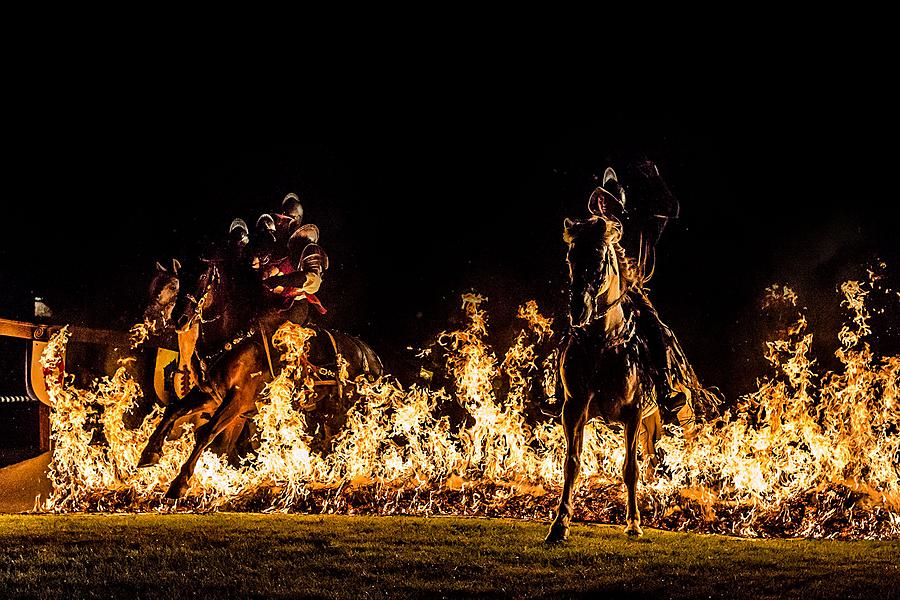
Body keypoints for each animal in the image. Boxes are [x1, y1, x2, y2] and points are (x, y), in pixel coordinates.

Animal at [137, 258, 384, 496]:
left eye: (202, 277)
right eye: (180, 279)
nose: (180, 318)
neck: (230, 341)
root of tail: (369, 354)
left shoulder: (238, 400)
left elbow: (206, 432)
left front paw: (179, 482)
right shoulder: (211, 396)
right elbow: (173, 410)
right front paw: (149, 454)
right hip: (329, 412)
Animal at [544, 217, 656, 544]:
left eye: (598, 259)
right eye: (571, 257)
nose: (578, 309)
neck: (602, 343)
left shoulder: (633, 413)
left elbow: (630, 468)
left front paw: (634, 524)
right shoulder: (573, 409)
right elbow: (571, 463)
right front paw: (560, 525)